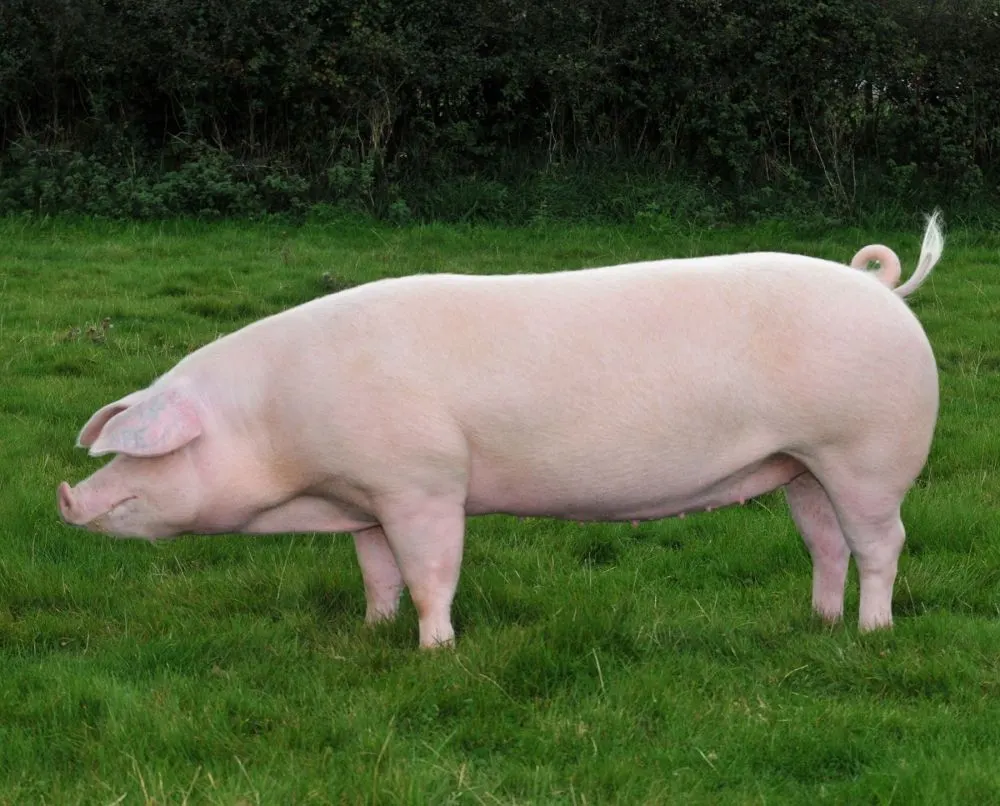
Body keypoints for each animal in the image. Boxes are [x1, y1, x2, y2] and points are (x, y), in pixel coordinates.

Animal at [58, 212, 944, 649]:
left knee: (884, 543)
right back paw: (820, 624)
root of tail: (885, 293)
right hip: (800, 464)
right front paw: (372, 631)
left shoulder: (421, 482)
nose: (67, 496)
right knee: (826, 543)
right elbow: (376, 573)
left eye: (142, 452)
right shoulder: (367, 498)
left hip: (866, 453)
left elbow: (429, 572)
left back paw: (872, 631)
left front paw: (434, 651)